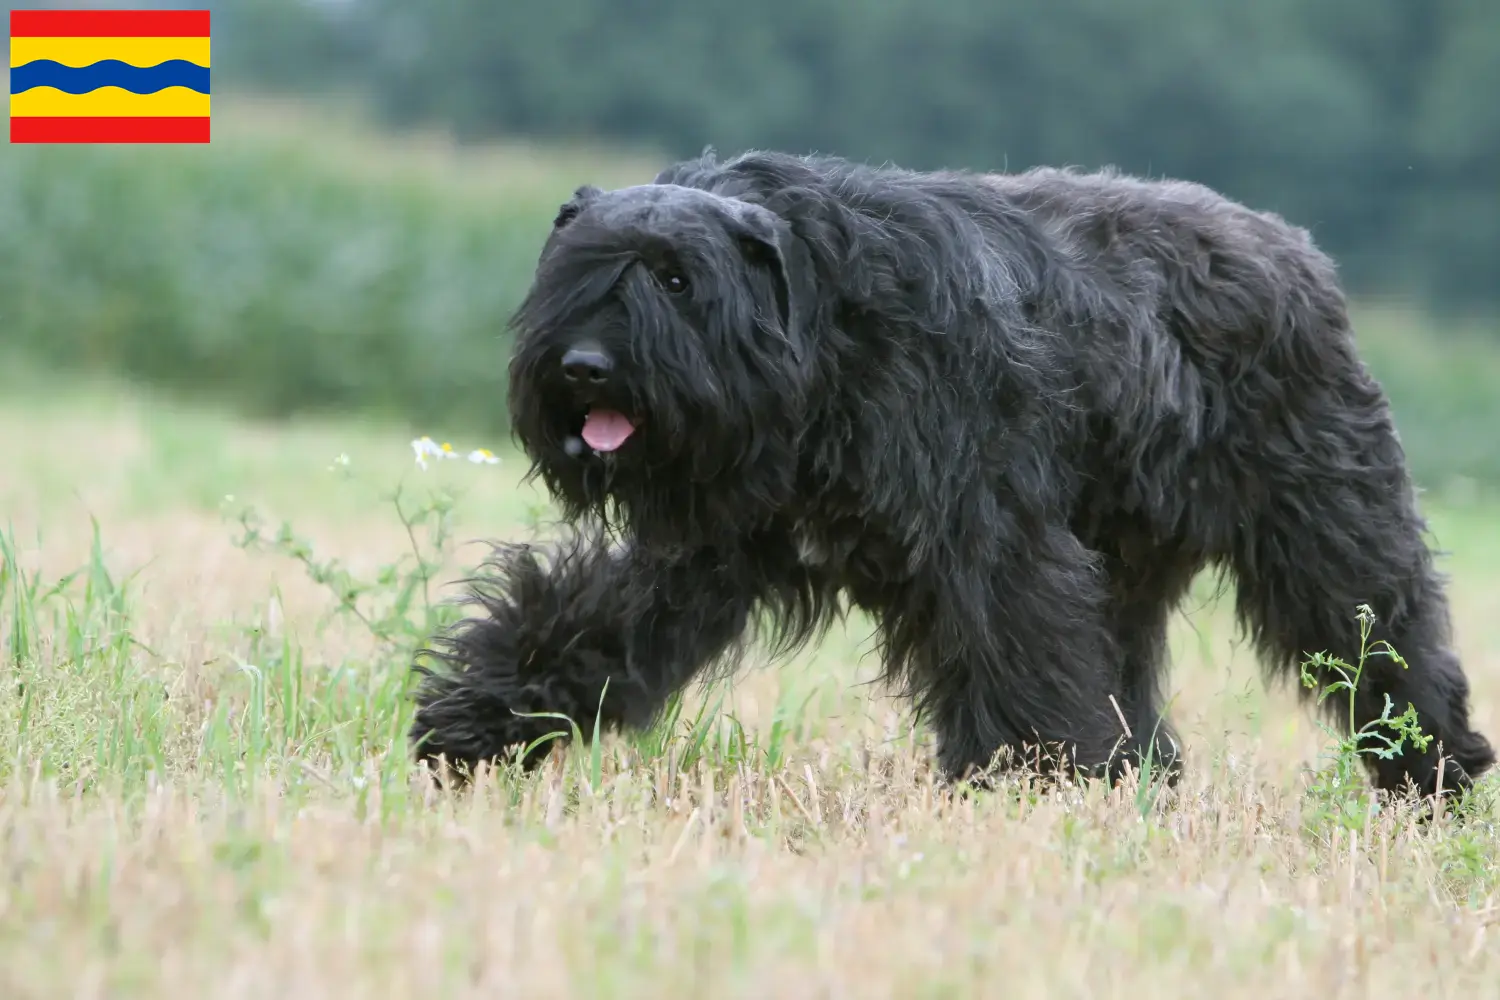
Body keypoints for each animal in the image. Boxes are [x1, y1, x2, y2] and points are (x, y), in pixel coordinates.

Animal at [408, 148, 1488, 803]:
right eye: (578, 271)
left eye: (678, 280)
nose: (585, 367)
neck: (828, 334)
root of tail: (1294, 251)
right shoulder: (706, 540)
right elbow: (591, 613)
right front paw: (476, 720)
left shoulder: (991, 542)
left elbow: (1014, 653)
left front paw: (1033, 784)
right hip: (1129, 566)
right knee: (1131, 678)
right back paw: (1140, 781)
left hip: (1327, 530)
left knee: (1388, 642)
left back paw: (1434, 775)